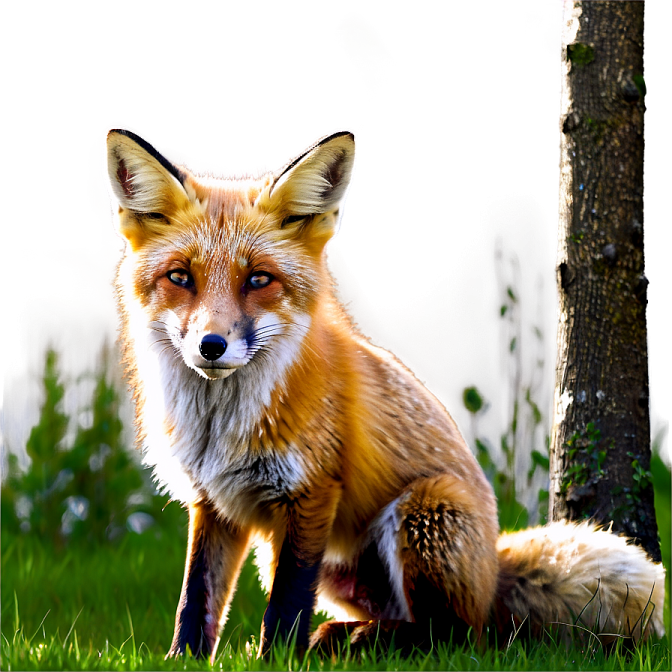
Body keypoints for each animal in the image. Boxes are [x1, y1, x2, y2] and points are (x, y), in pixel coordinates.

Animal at [104, 126, 665, 660]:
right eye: (181, 277)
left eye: (259, 279)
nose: (211, 346)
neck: (220, 428)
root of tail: (492, 572)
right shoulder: (213, 501)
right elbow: (196, 596)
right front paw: (183, 658)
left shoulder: (312, 490)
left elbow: (286, 603)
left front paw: (277, 658)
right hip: (325, 564)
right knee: (413, 622)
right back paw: (347, 636)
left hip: (426, 509)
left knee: (454, 637)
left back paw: (347, 641)